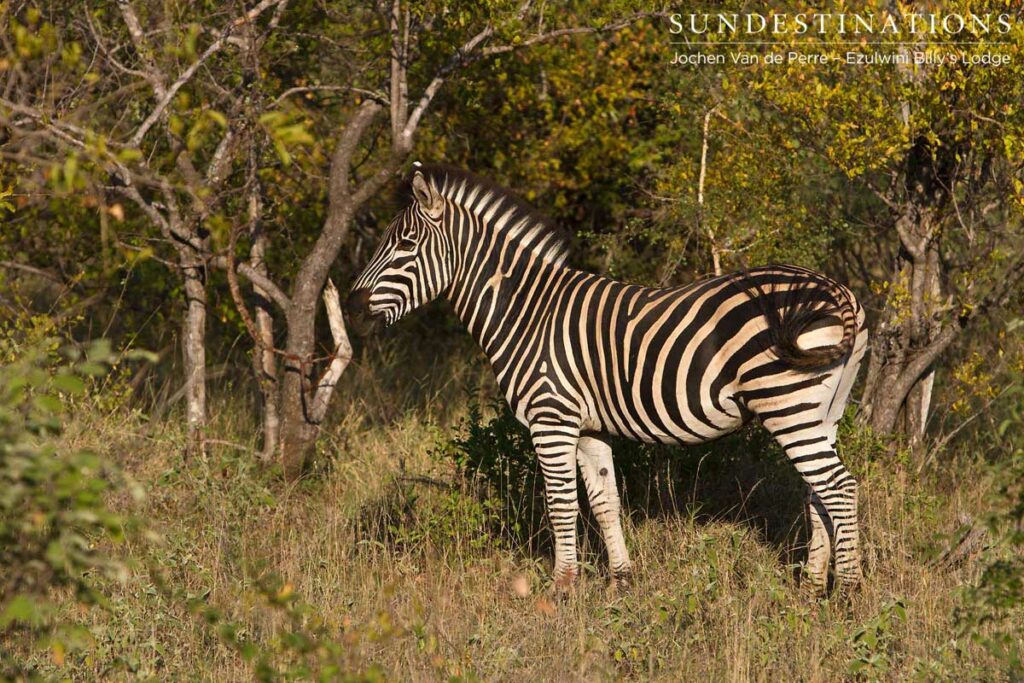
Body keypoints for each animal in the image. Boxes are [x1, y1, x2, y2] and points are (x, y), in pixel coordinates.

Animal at [347, 163, 869, 591]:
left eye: (406, 245)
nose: (352, 307)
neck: (526, 312)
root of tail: (838, 290)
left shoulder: (551, 418)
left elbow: (561, 504)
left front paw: (561, 587)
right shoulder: (589, 427)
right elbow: (604, 501)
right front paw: (621, 579)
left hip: (787, 402)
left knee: (839, 488)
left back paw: (848, 591)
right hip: (823, 410)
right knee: (818, 492)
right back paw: (812, 586)